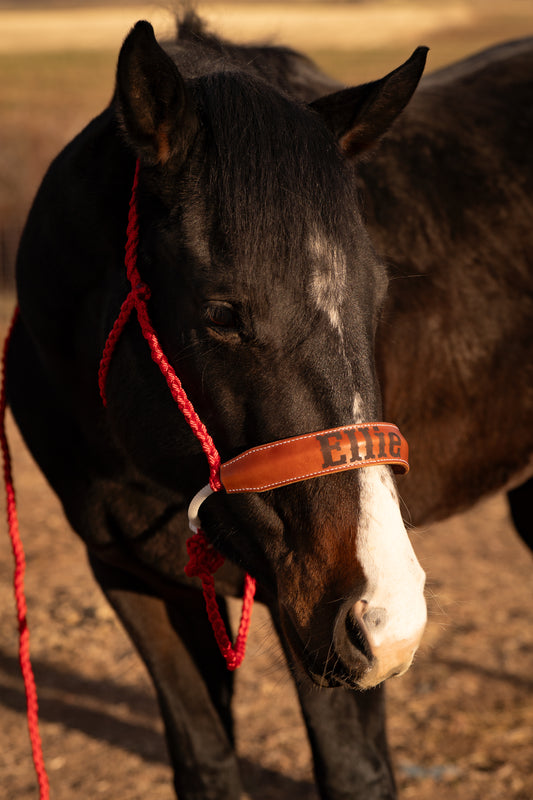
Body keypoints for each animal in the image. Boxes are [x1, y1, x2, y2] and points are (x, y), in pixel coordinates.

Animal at [6, 11, 533, 800]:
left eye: (379, 292)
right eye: (222, 313)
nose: (389, 615)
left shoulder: (306, 614)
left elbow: (353, 772)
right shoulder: (132, 576)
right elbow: (204, 759)